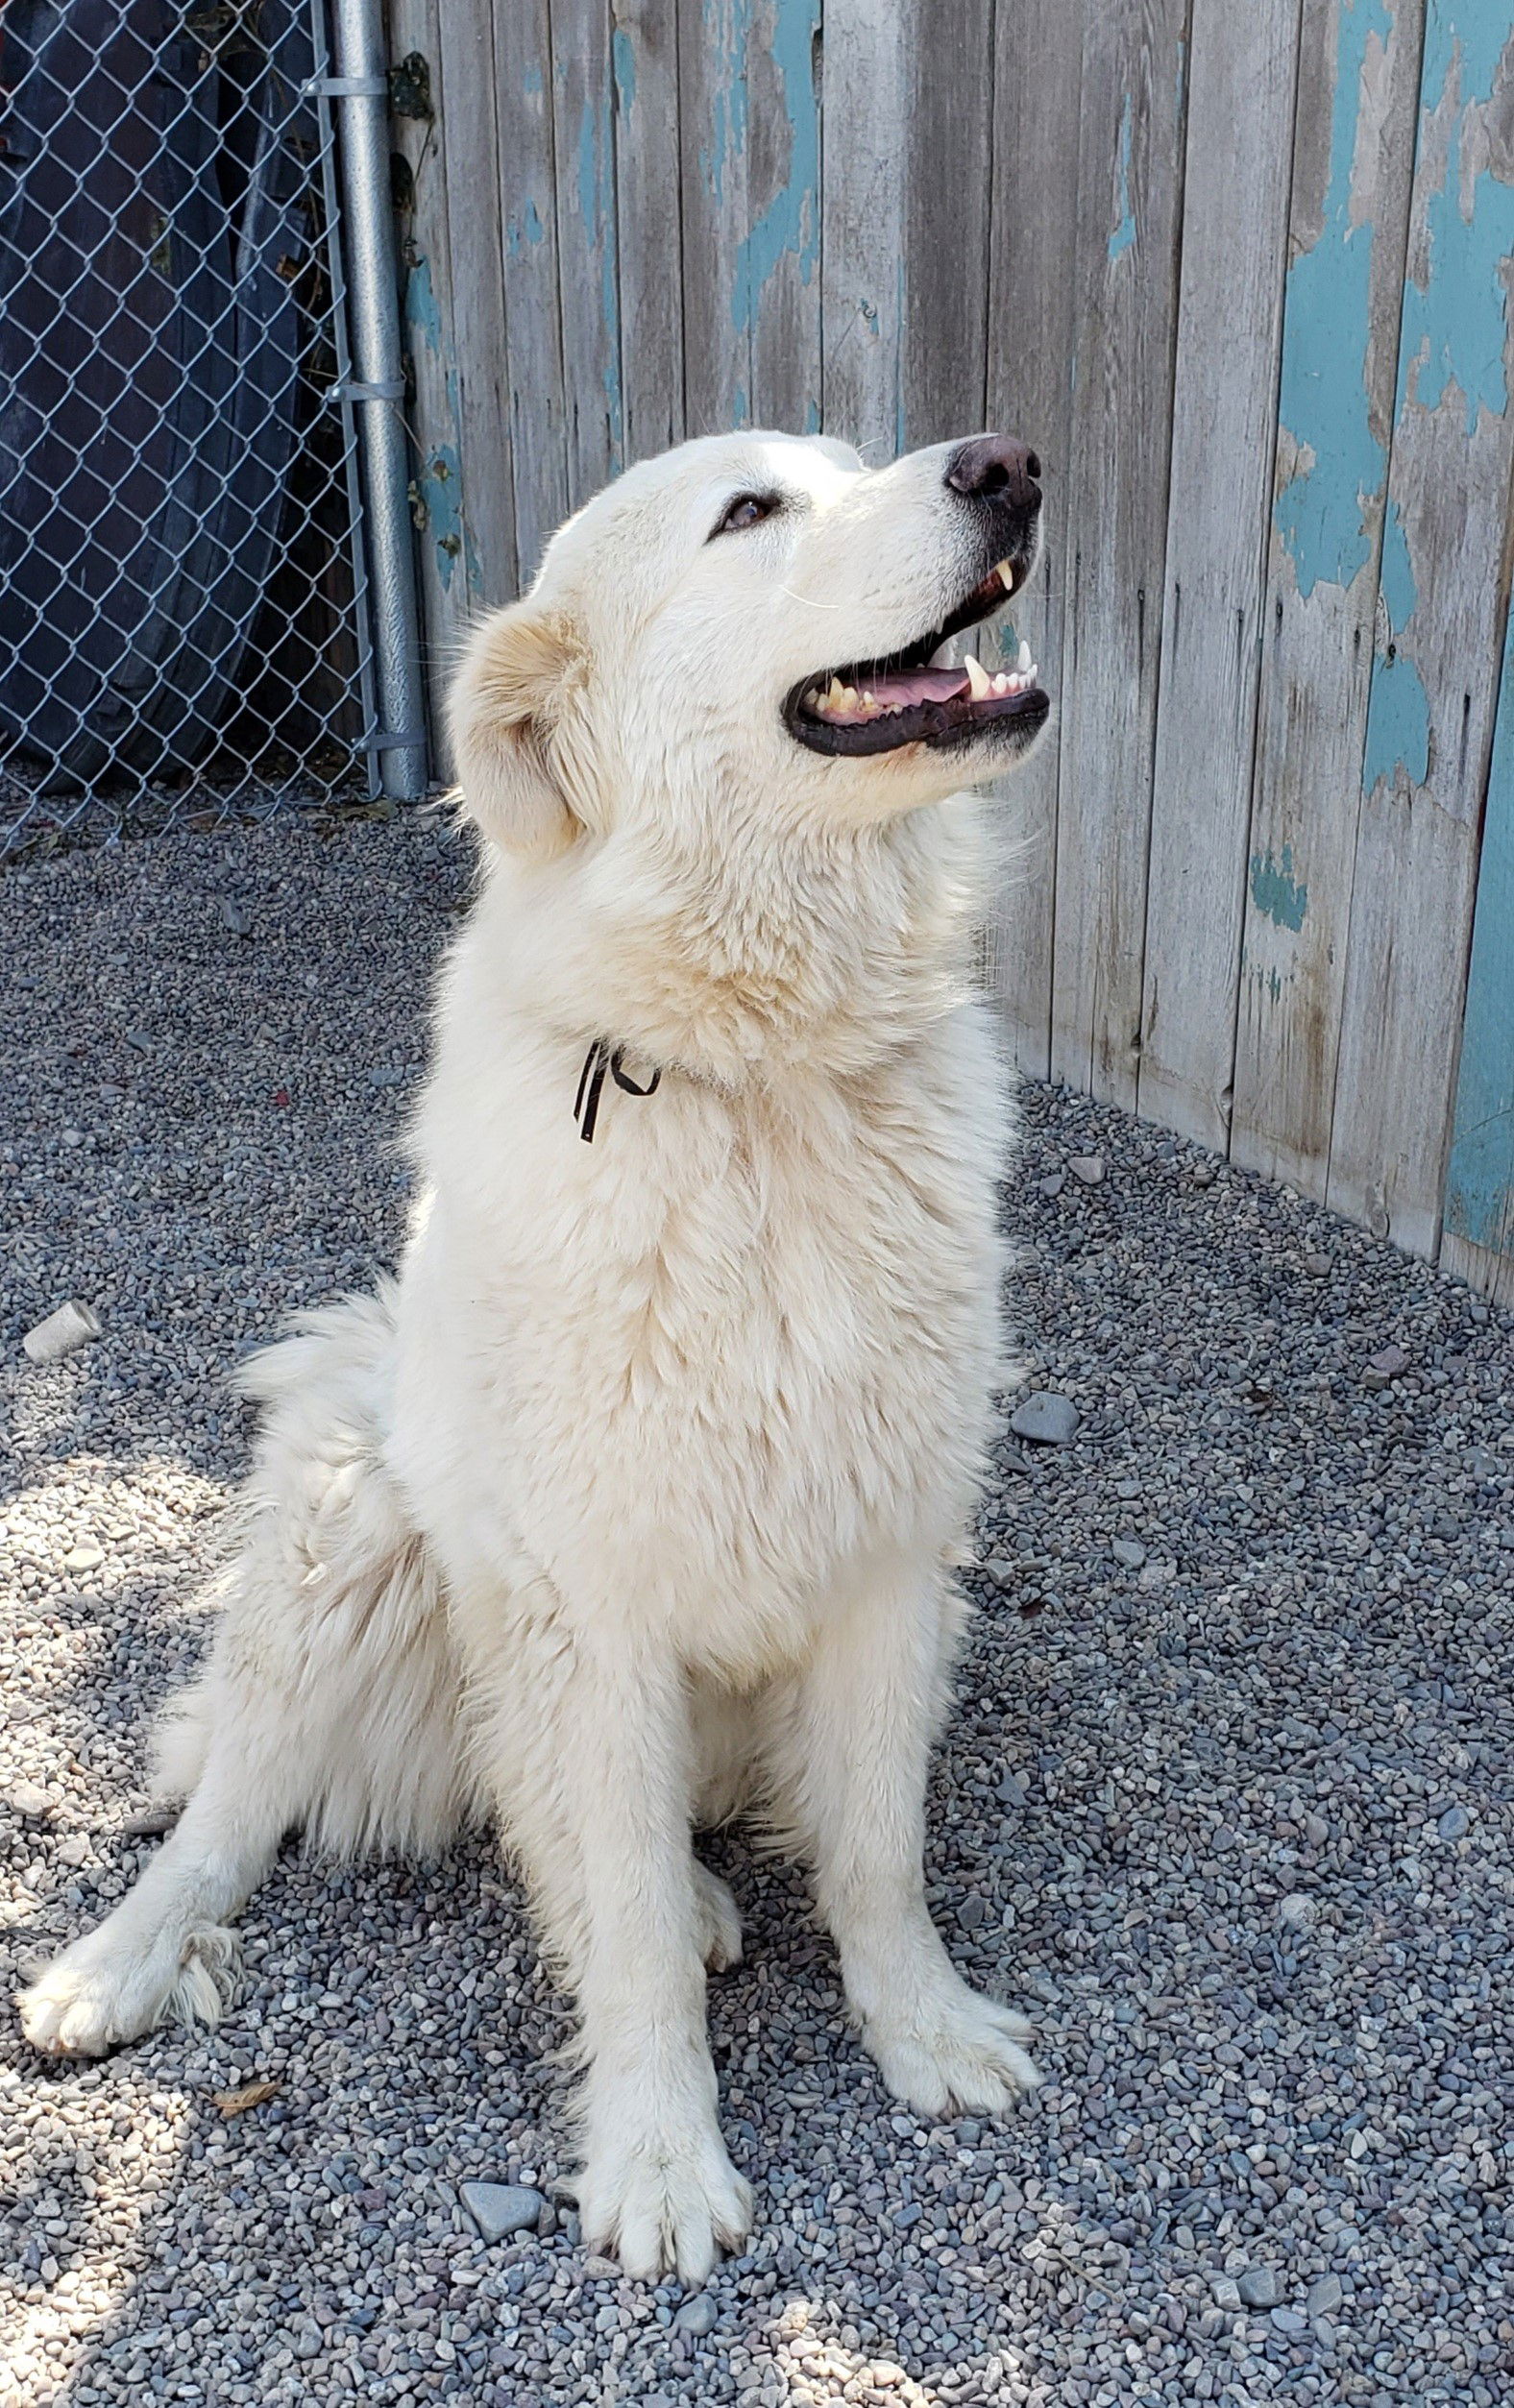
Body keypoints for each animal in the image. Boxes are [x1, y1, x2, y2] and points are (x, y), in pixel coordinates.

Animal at [14, 428, 1049, 2273]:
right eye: (748, 513)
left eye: (862, 460)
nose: (1005, 464)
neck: (760, 1076)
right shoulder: (593, 1608)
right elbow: (617, 1916)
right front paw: (658, 2158)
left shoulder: (889, 1562)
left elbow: (875, 1850)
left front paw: (921, 2027)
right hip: (350, 1508)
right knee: (248, 1813)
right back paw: (111, 1964)